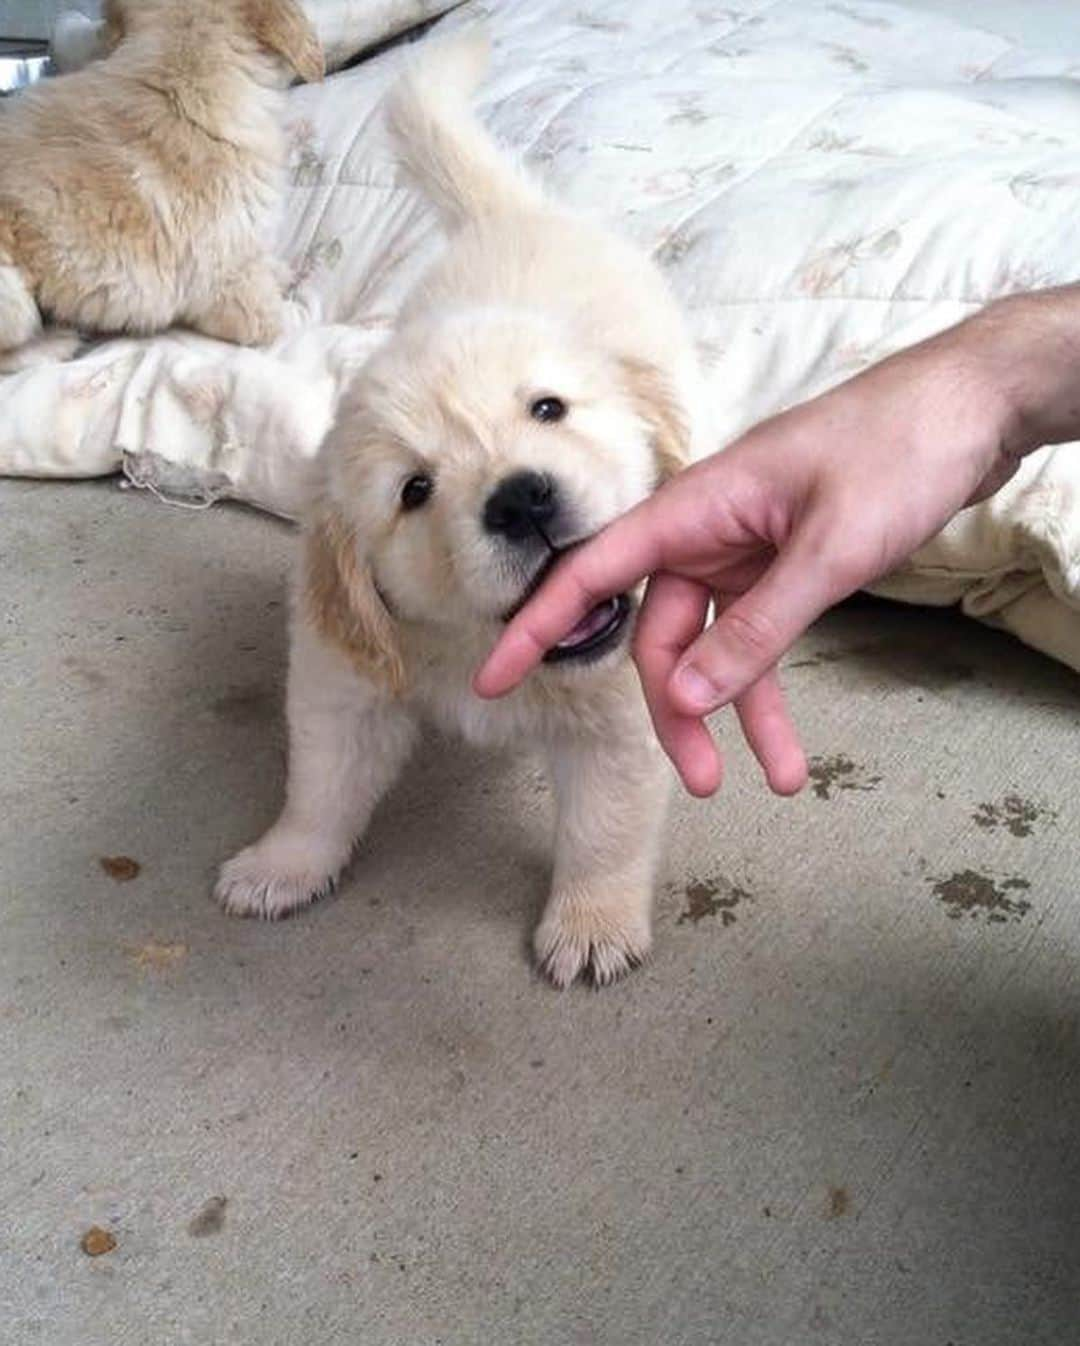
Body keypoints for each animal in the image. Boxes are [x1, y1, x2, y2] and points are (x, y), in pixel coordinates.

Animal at [0, 0, 321, 363]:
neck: (180, 84)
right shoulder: (236, 293)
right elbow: (293, 317)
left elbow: (267, 262)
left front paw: (283, 272)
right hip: (12, 299)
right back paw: (54, 342)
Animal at [214, 36, 700, 990]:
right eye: (414, 491)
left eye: (548, 409)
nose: (522, 497)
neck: (484, 651)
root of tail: (512, 213)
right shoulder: (346, 679)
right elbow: (320, 783)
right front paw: (282, 863)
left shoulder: (618, 715)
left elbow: (604, 829)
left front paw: (591, 923)